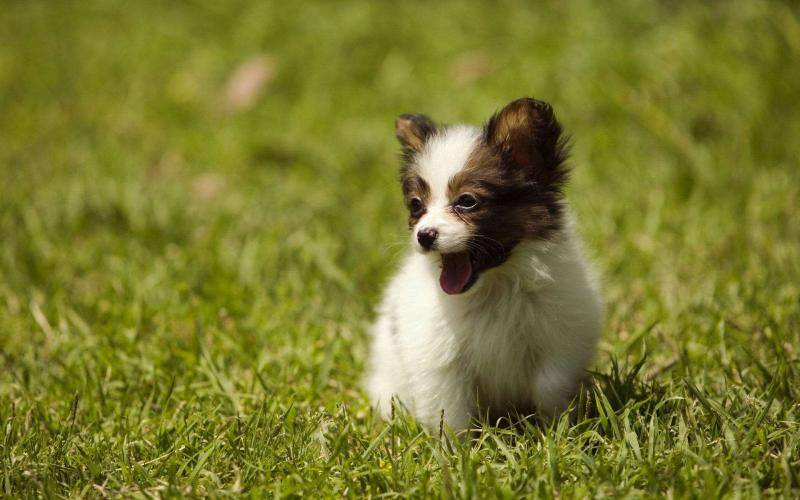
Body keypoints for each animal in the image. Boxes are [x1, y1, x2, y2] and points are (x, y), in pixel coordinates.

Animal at [366, 98, 604, 434]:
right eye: (416, 205)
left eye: (467, 201)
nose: (424, 235)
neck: (493, 287)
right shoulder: (440, 362)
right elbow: (451, 413)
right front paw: (457, 446)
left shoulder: (559, 342)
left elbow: (550, 388)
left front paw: (556, 431)